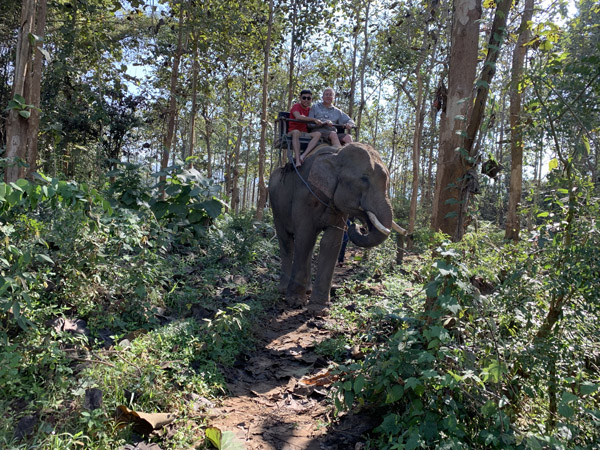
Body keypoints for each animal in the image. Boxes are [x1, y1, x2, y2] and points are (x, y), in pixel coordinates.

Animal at [268, 142, 404, 314]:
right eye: (364, 179)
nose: (358, 226)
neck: (336, 155)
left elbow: (331, 242)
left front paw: (318, 310)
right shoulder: (304, 196)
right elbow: (304, 238)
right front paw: (295, 301)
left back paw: (308, 290)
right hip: (275, 205)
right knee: (286, 240)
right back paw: (283, 289)